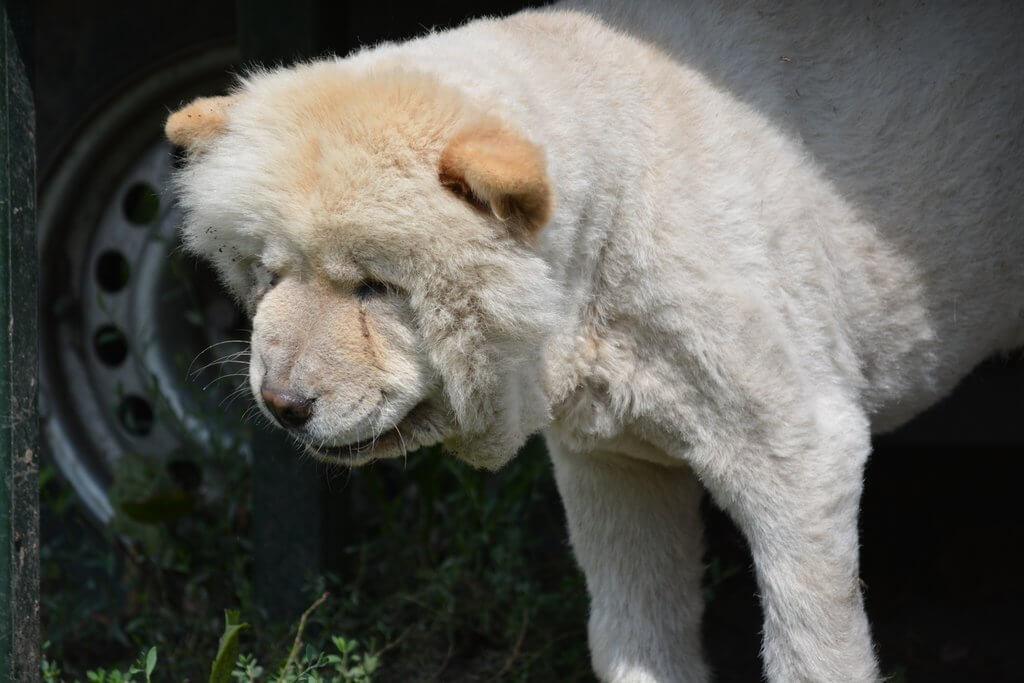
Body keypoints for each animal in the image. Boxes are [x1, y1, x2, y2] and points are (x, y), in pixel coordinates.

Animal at [165, 2, 1023, 681]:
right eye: (267, 273)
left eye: (375, 286)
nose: (281, 402)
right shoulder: (613, 459)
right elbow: (634, 631)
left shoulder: (799, 449)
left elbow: (814, 647)